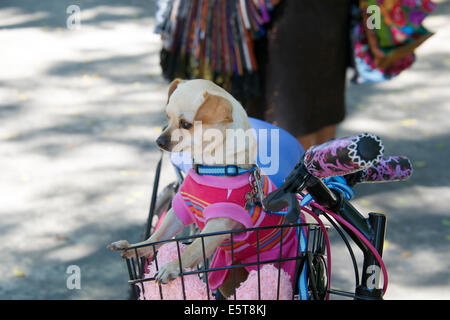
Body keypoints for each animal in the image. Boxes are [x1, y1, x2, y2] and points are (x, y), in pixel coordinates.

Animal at [108, 79, 298, 298]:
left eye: (186, 125)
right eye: (167, 117)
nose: (159, 141)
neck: (212, 168)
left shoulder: (217, 225)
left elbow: (193, 248)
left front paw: (172, 266)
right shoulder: (178, 212)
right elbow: (156, 237)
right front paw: (136, 248)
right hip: (228, 279)